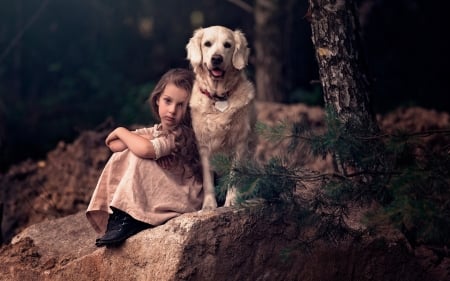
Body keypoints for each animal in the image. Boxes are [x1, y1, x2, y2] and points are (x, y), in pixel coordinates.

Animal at [186, 26, 256, 209]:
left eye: (227, 45)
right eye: (207, 44)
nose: (216, 58)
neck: (219, 96)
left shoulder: (240, 142)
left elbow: (234, 176)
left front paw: (232, 200)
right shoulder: (203, 146)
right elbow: (207, 180)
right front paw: (209, 205)